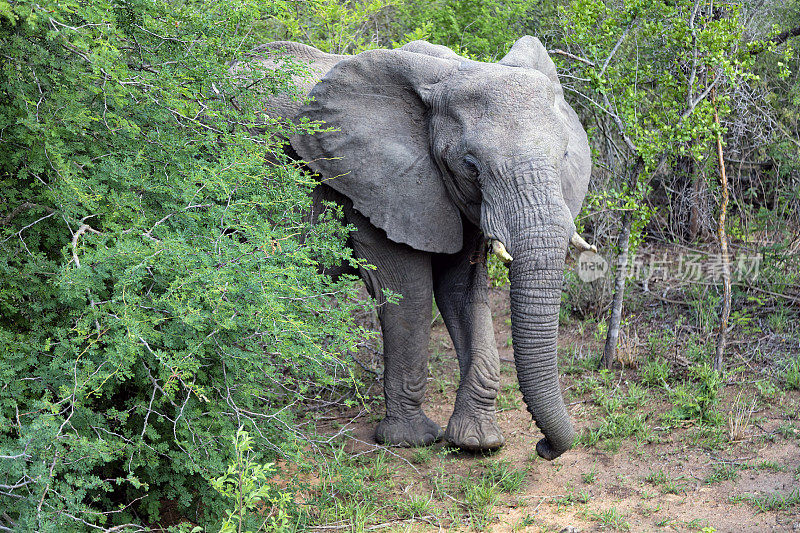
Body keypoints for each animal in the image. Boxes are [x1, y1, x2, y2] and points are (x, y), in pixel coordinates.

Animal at [231, 36, 592, 458]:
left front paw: (477, 443)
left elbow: (463, 292)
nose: (543, 447)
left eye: (564, 156)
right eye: (470, 166)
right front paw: (411, 440)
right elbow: (411, 293)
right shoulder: (374, 186)